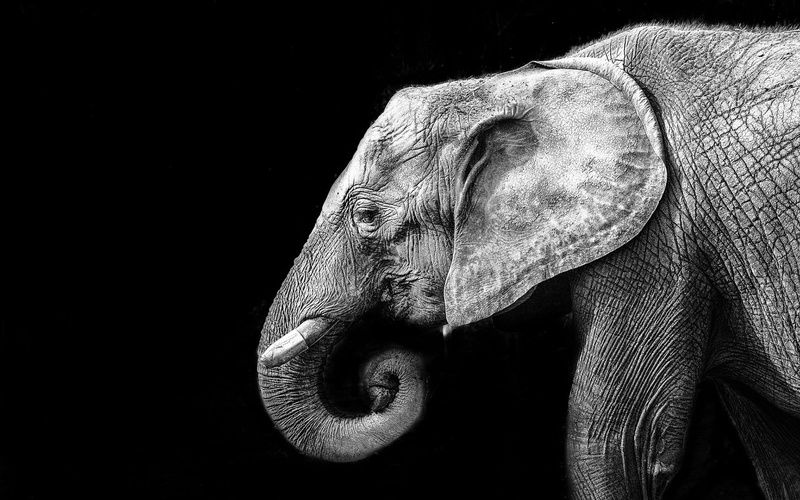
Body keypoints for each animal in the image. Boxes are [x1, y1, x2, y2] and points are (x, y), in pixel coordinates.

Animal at [257, 24, 800, 499]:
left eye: (366, 216)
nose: (383, 382)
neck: (518, 83)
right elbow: (777, 454)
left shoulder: (659, 240)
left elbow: (617, 445)